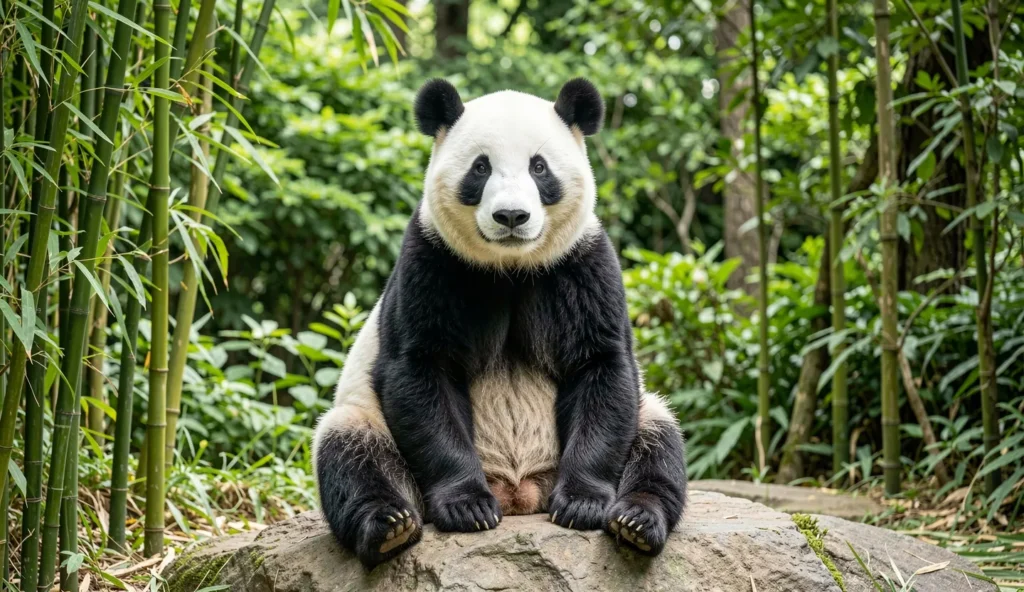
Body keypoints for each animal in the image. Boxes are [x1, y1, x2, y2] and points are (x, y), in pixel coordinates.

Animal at [313, 78, 687, 568]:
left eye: (539, 167)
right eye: (480, 168)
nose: (511, 216)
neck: (510, 267)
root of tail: (521, 494)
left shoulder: (581, 264)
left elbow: (601, 366)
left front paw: (582, 504)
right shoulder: (434, 261)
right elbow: (420, 371)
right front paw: (467, 507)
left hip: (643, 419)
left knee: (658, 442)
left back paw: (636, 522)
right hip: (368, 421)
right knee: (351, 451)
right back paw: (389, 526)